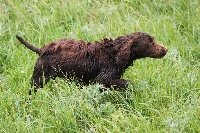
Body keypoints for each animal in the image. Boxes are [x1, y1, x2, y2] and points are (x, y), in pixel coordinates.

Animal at [16, 32, 168, 94]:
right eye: (150, 41)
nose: (166, 49)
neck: (115, 53)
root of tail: (42, 49)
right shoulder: (102, 79)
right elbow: (125, 83)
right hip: (39, 77)